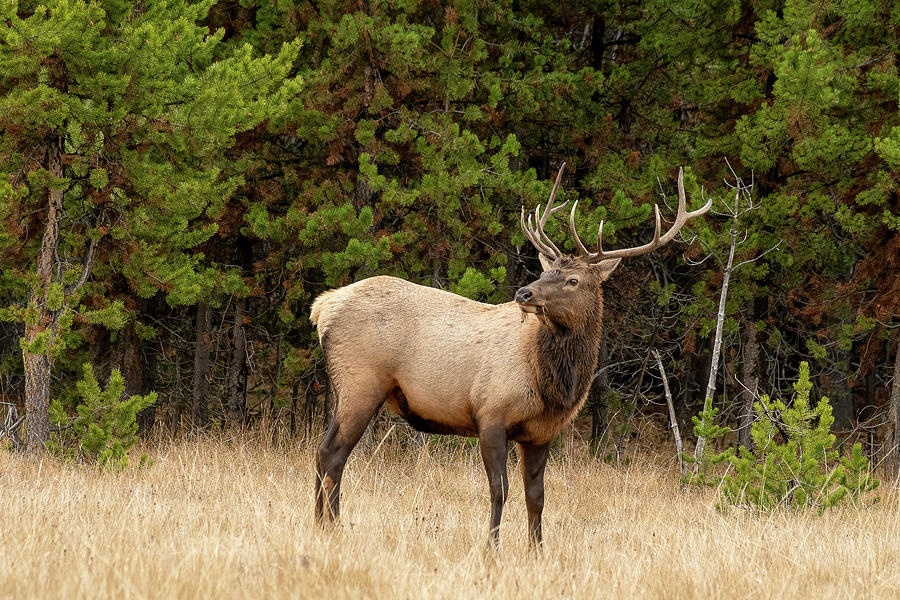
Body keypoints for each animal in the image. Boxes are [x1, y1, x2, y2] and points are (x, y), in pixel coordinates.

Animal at [310, 163, 712, 544]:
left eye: (573, 280)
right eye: (546, 271)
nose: (524, 293)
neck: (554, 384)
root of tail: (322, 307)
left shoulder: (541, 432)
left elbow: (537, 496)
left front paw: (536, 550)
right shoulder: (491, 413)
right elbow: (498, 490)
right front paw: (493, 547)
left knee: (323, 450)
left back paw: (320, 526)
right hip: (362, 382)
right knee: (332, 453)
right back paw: (330, 527)